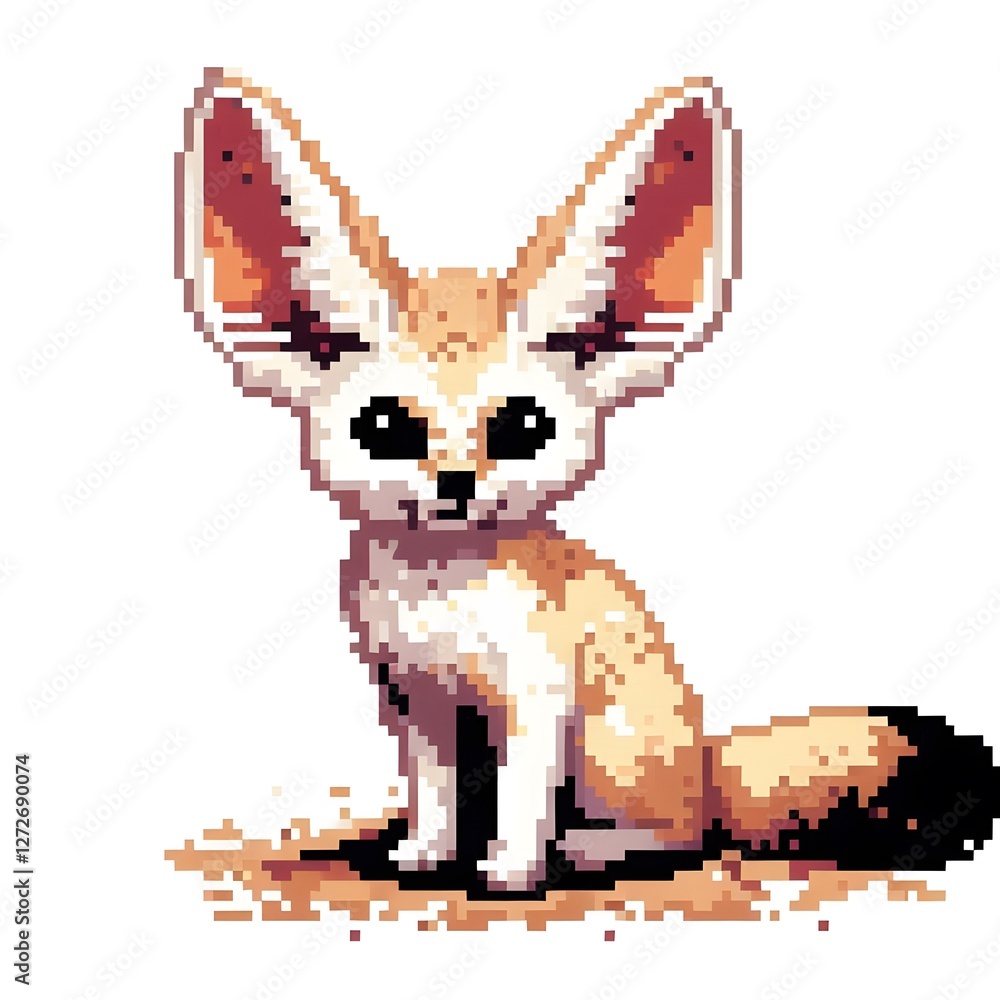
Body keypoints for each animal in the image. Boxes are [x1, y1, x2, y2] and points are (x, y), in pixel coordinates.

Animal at [177, 69, 999, 894]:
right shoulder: (418, 701)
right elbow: (434, 792)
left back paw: (592, 848)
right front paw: (425, 854)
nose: (455, 483)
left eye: (520, 428)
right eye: (384, 428)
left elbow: (521, 795)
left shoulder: (536, 695)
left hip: (612, 753)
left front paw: (510, 870)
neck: (437, 591)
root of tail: (711, 766)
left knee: (683, 834)